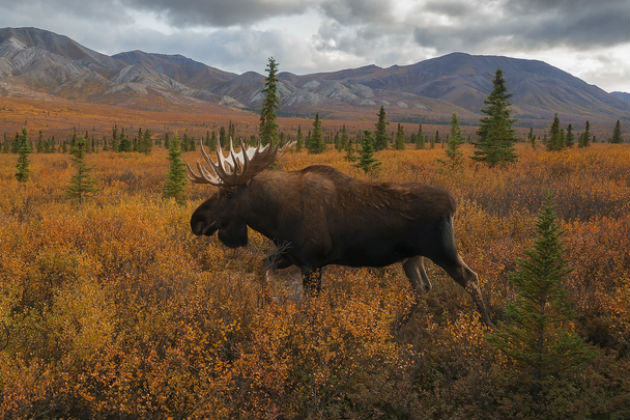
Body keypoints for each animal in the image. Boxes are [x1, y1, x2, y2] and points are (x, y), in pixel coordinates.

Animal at [188, 139, 494, 324]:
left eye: (227, 193)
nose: (196, 221)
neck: (273, 215)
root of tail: (452, 203)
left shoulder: (311, 262)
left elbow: (310, 305)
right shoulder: (288, 254)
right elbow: (261, 268)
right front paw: (271, 301)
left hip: (442, 250)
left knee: (470, 277)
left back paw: (489, 323)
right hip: (412, 257)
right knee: (422, 286)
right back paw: (399, 324)